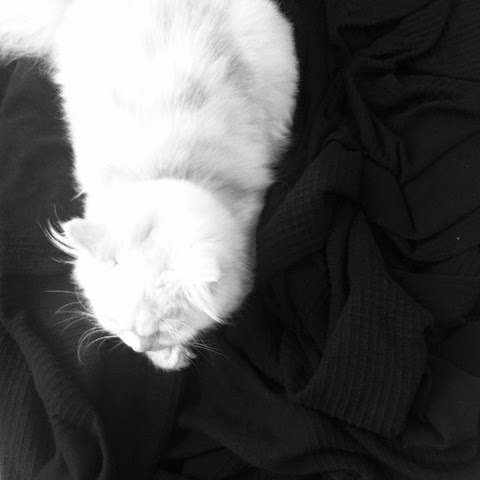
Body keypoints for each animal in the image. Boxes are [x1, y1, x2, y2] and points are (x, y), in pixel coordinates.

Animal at [0, 0, 298, 370]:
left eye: (162, 330)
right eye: (117, 324)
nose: (138, 348)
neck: (165, 171)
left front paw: (170, 356)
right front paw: (170, 359)